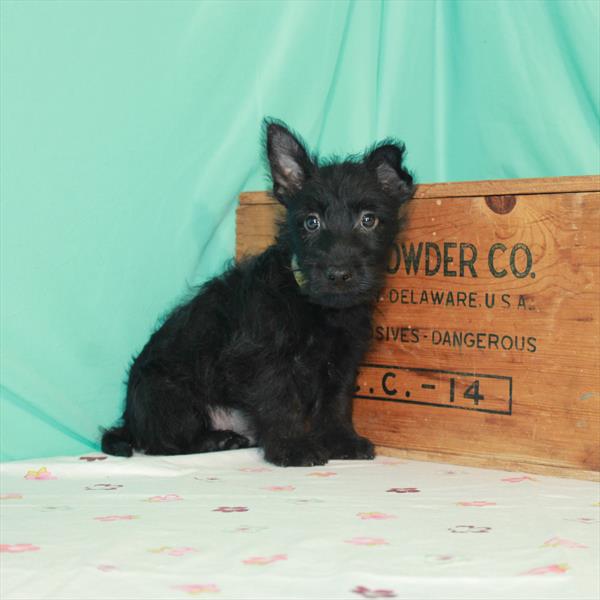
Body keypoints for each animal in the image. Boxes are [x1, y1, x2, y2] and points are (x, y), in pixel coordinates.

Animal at [102, 119, 412, 466]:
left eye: (368, 220)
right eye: (311, 222)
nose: (338, 274)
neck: (318, 307)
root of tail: (129, 420)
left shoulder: (342, 361)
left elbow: (336, 404)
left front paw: (341, 441)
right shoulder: (261, 359)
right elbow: (279, 402)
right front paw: (293, 447)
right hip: (168, 395)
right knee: (165, 442)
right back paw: (217, 440)